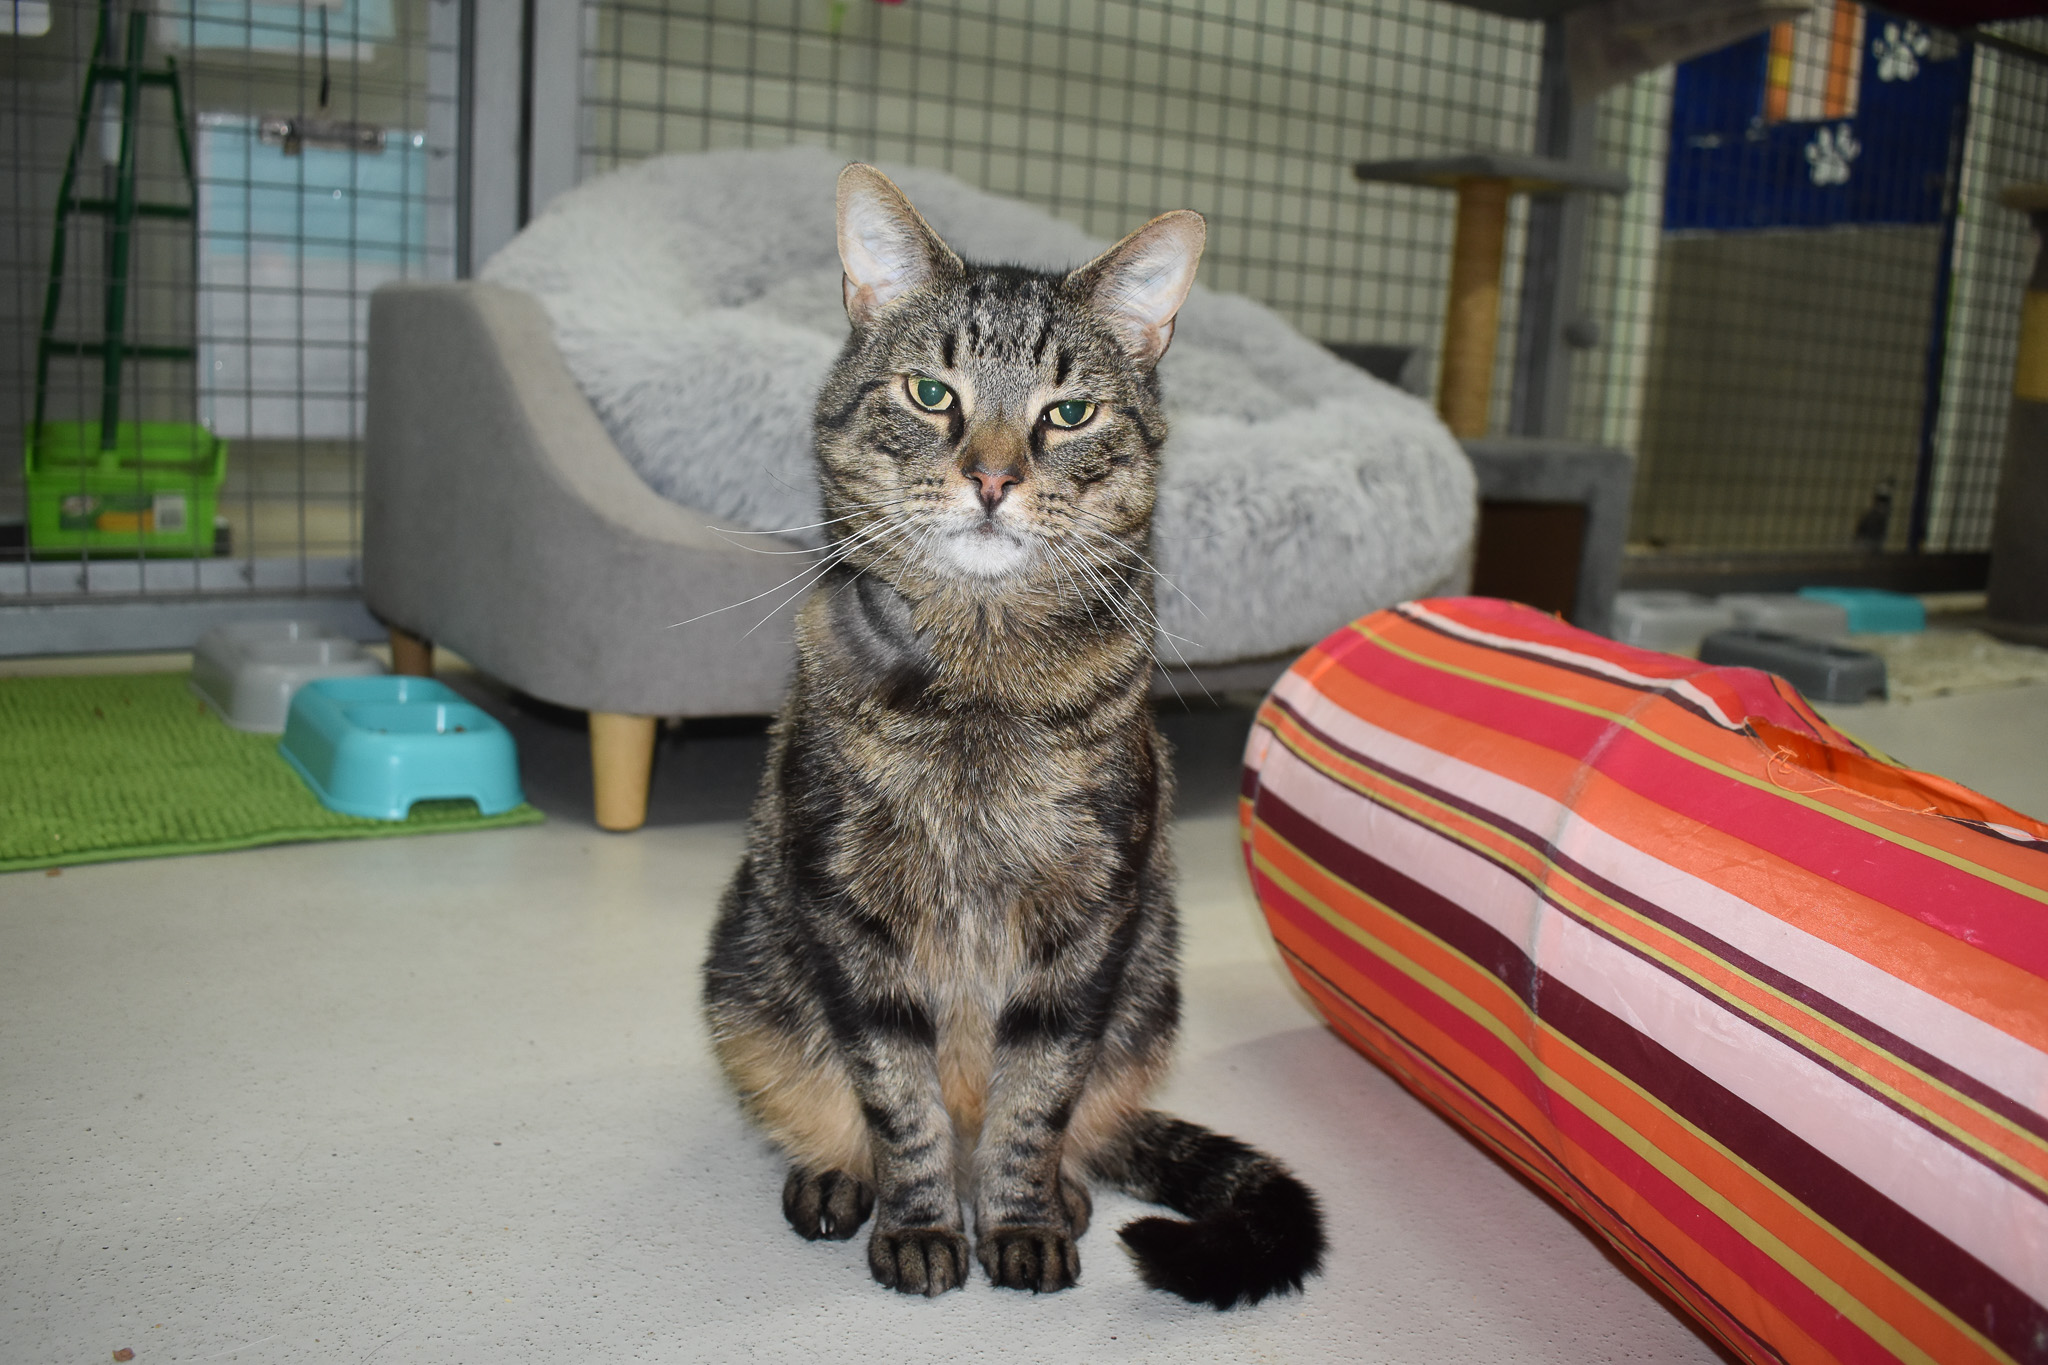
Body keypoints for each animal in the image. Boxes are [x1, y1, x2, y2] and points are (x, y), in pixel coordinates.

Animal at [704, 165, 1327, 1309]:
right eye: (931, 394)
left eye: (1068, 413)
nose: (991, 480)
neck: (979, 684)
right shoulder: (851, 913)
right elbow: (898, 1097)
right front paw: (917, 1224)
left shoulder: (1087, 922)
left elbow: (1034, 1098)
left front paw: (1023, 1219)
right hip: (746, 975)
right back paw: (834, 1175)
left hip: (1148, 991)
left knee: (1083, 1119)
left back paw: (1066, 1190)